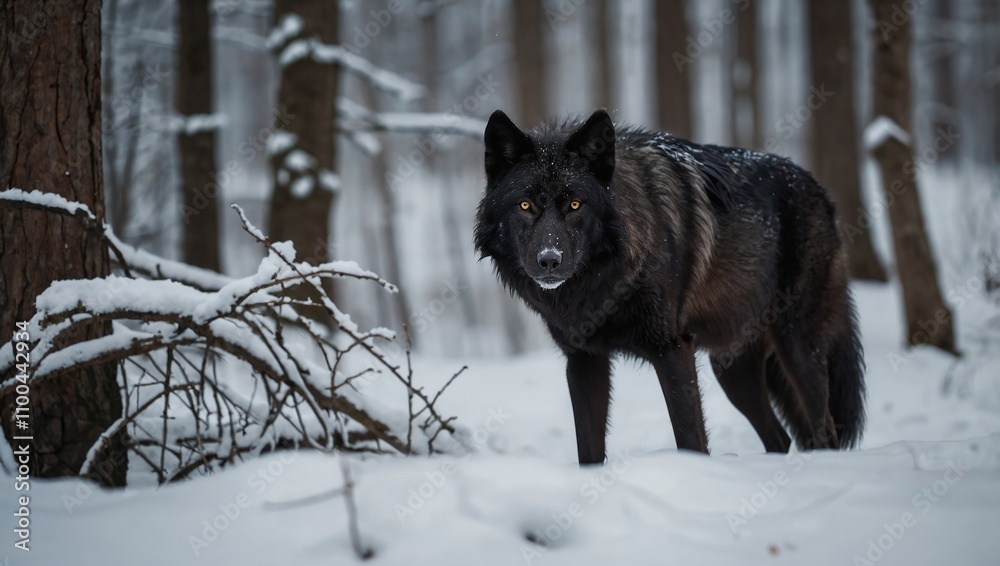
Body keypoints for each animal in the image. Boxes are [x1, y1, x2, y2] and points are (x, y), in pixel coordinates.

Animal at [474, 109, 865, 464]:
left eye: (574, 204)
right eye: (525, 204)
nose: (549, 260)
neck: (600, 285)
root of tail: (819, 189)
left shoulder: (672, 349)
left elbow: (691, 439)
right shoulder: (584, 361)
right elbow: (589, 451)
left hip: (799, 349)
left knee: (824, 434)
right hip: (731, 370)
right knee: (781, 439)